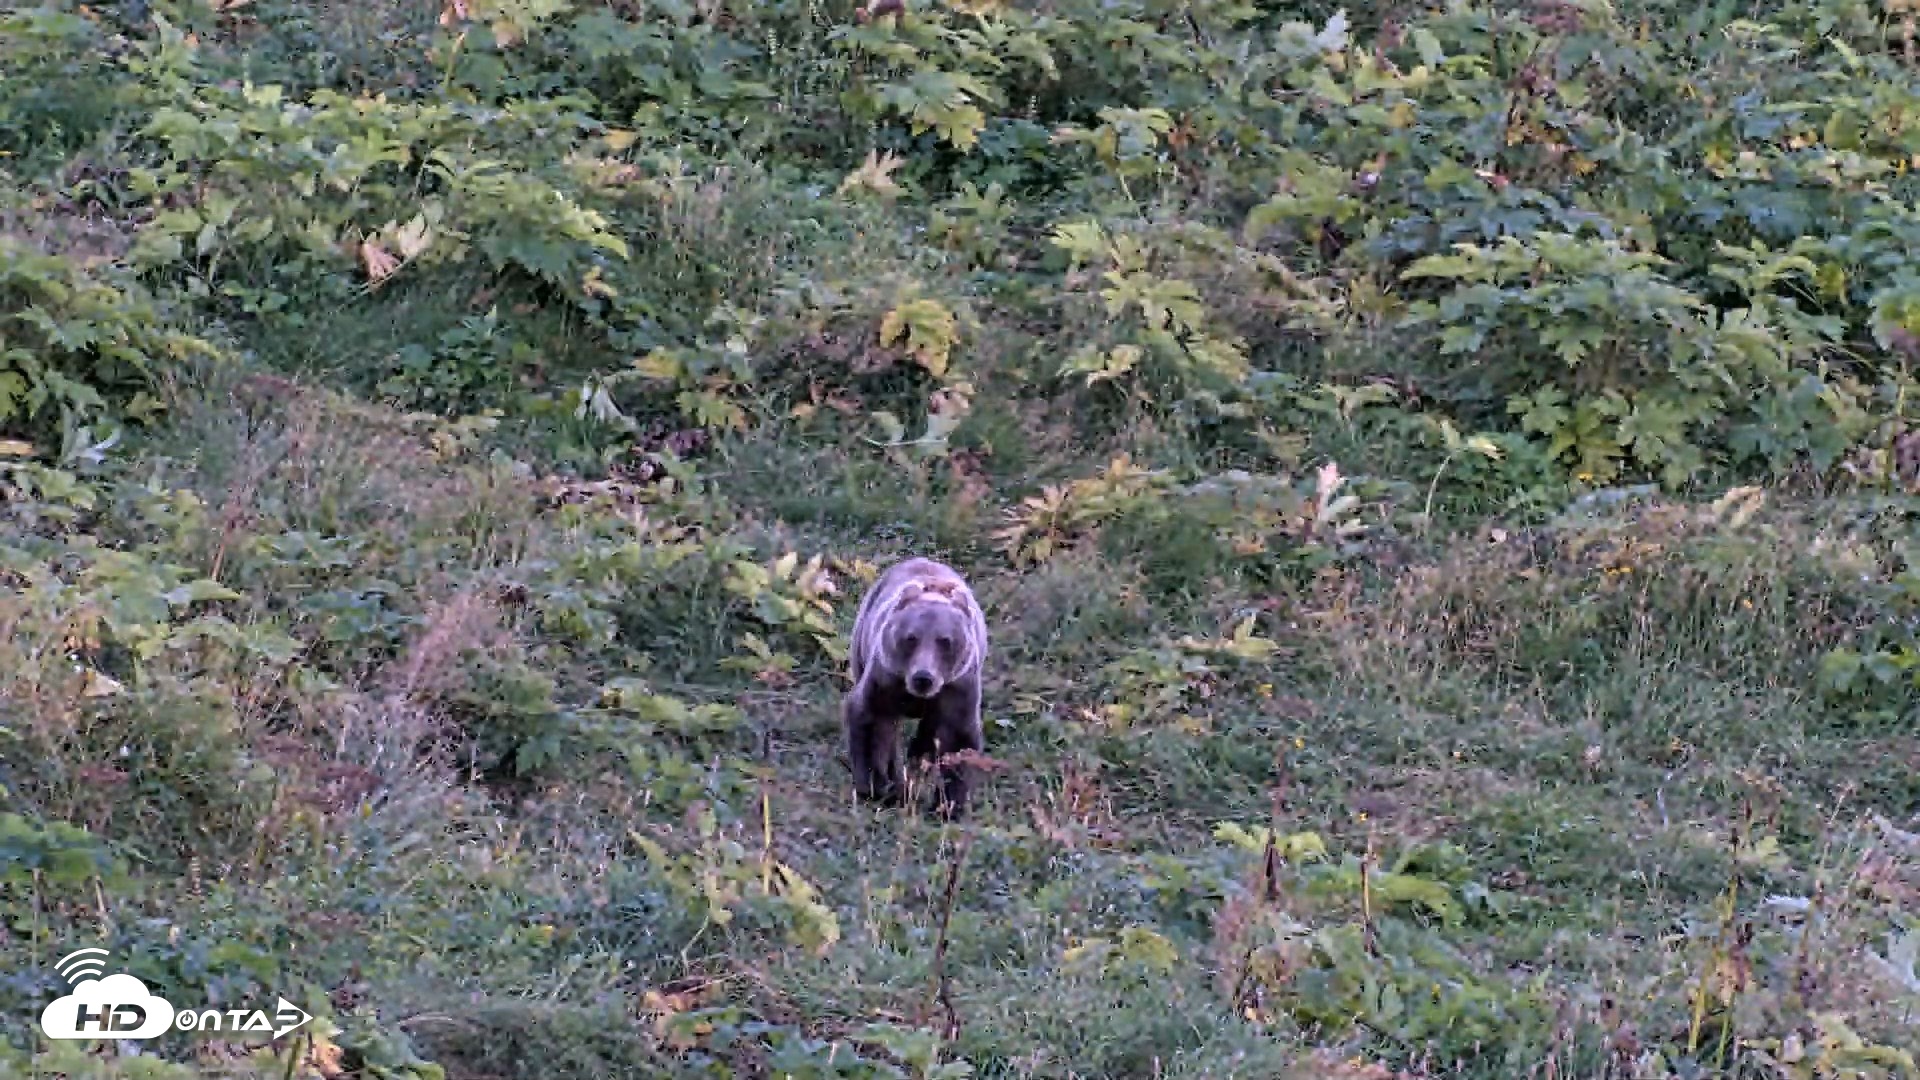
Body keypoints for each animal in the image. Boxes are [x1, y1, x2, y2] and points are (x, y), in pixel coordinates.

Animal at [842, 556, 990, 819]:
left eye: (945, 641)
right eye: (911, 638)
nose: (923, 677)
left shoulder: (958, 687)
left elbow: (957, 739)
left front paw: (947, 805)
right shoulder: (886, 678)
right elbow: (873, 721)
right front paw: (878, 785)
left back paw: (921, 751)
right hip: (861, 642)